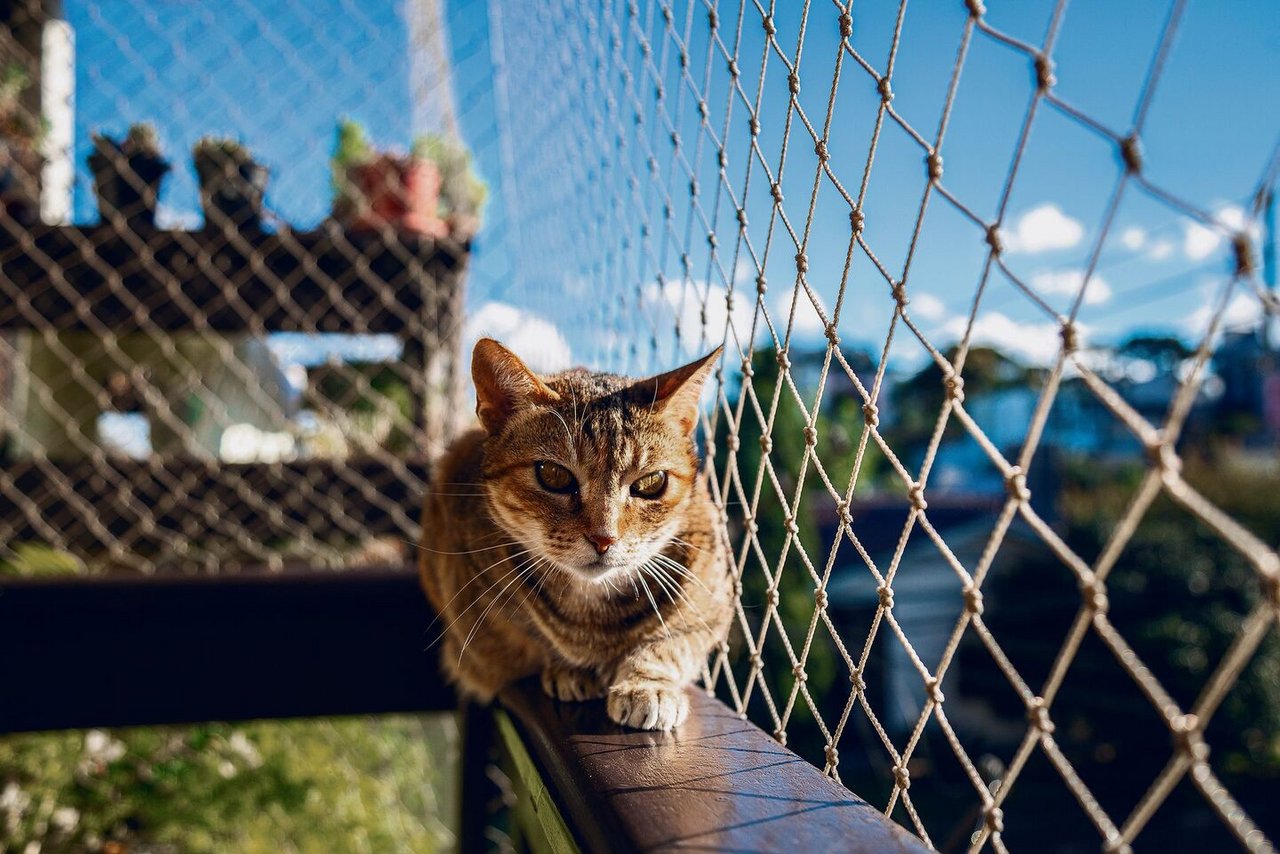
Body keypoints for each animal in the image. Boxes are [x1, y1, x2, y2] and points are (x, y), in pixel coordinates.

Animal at [419, 338, 732, 732]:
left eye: (651, 482)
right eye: (553, 475)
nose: (604, 538)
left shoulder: (712, 598)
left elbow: (672, 643)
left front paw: (647, 684)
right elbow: (532, 635)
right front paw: (567, 669)